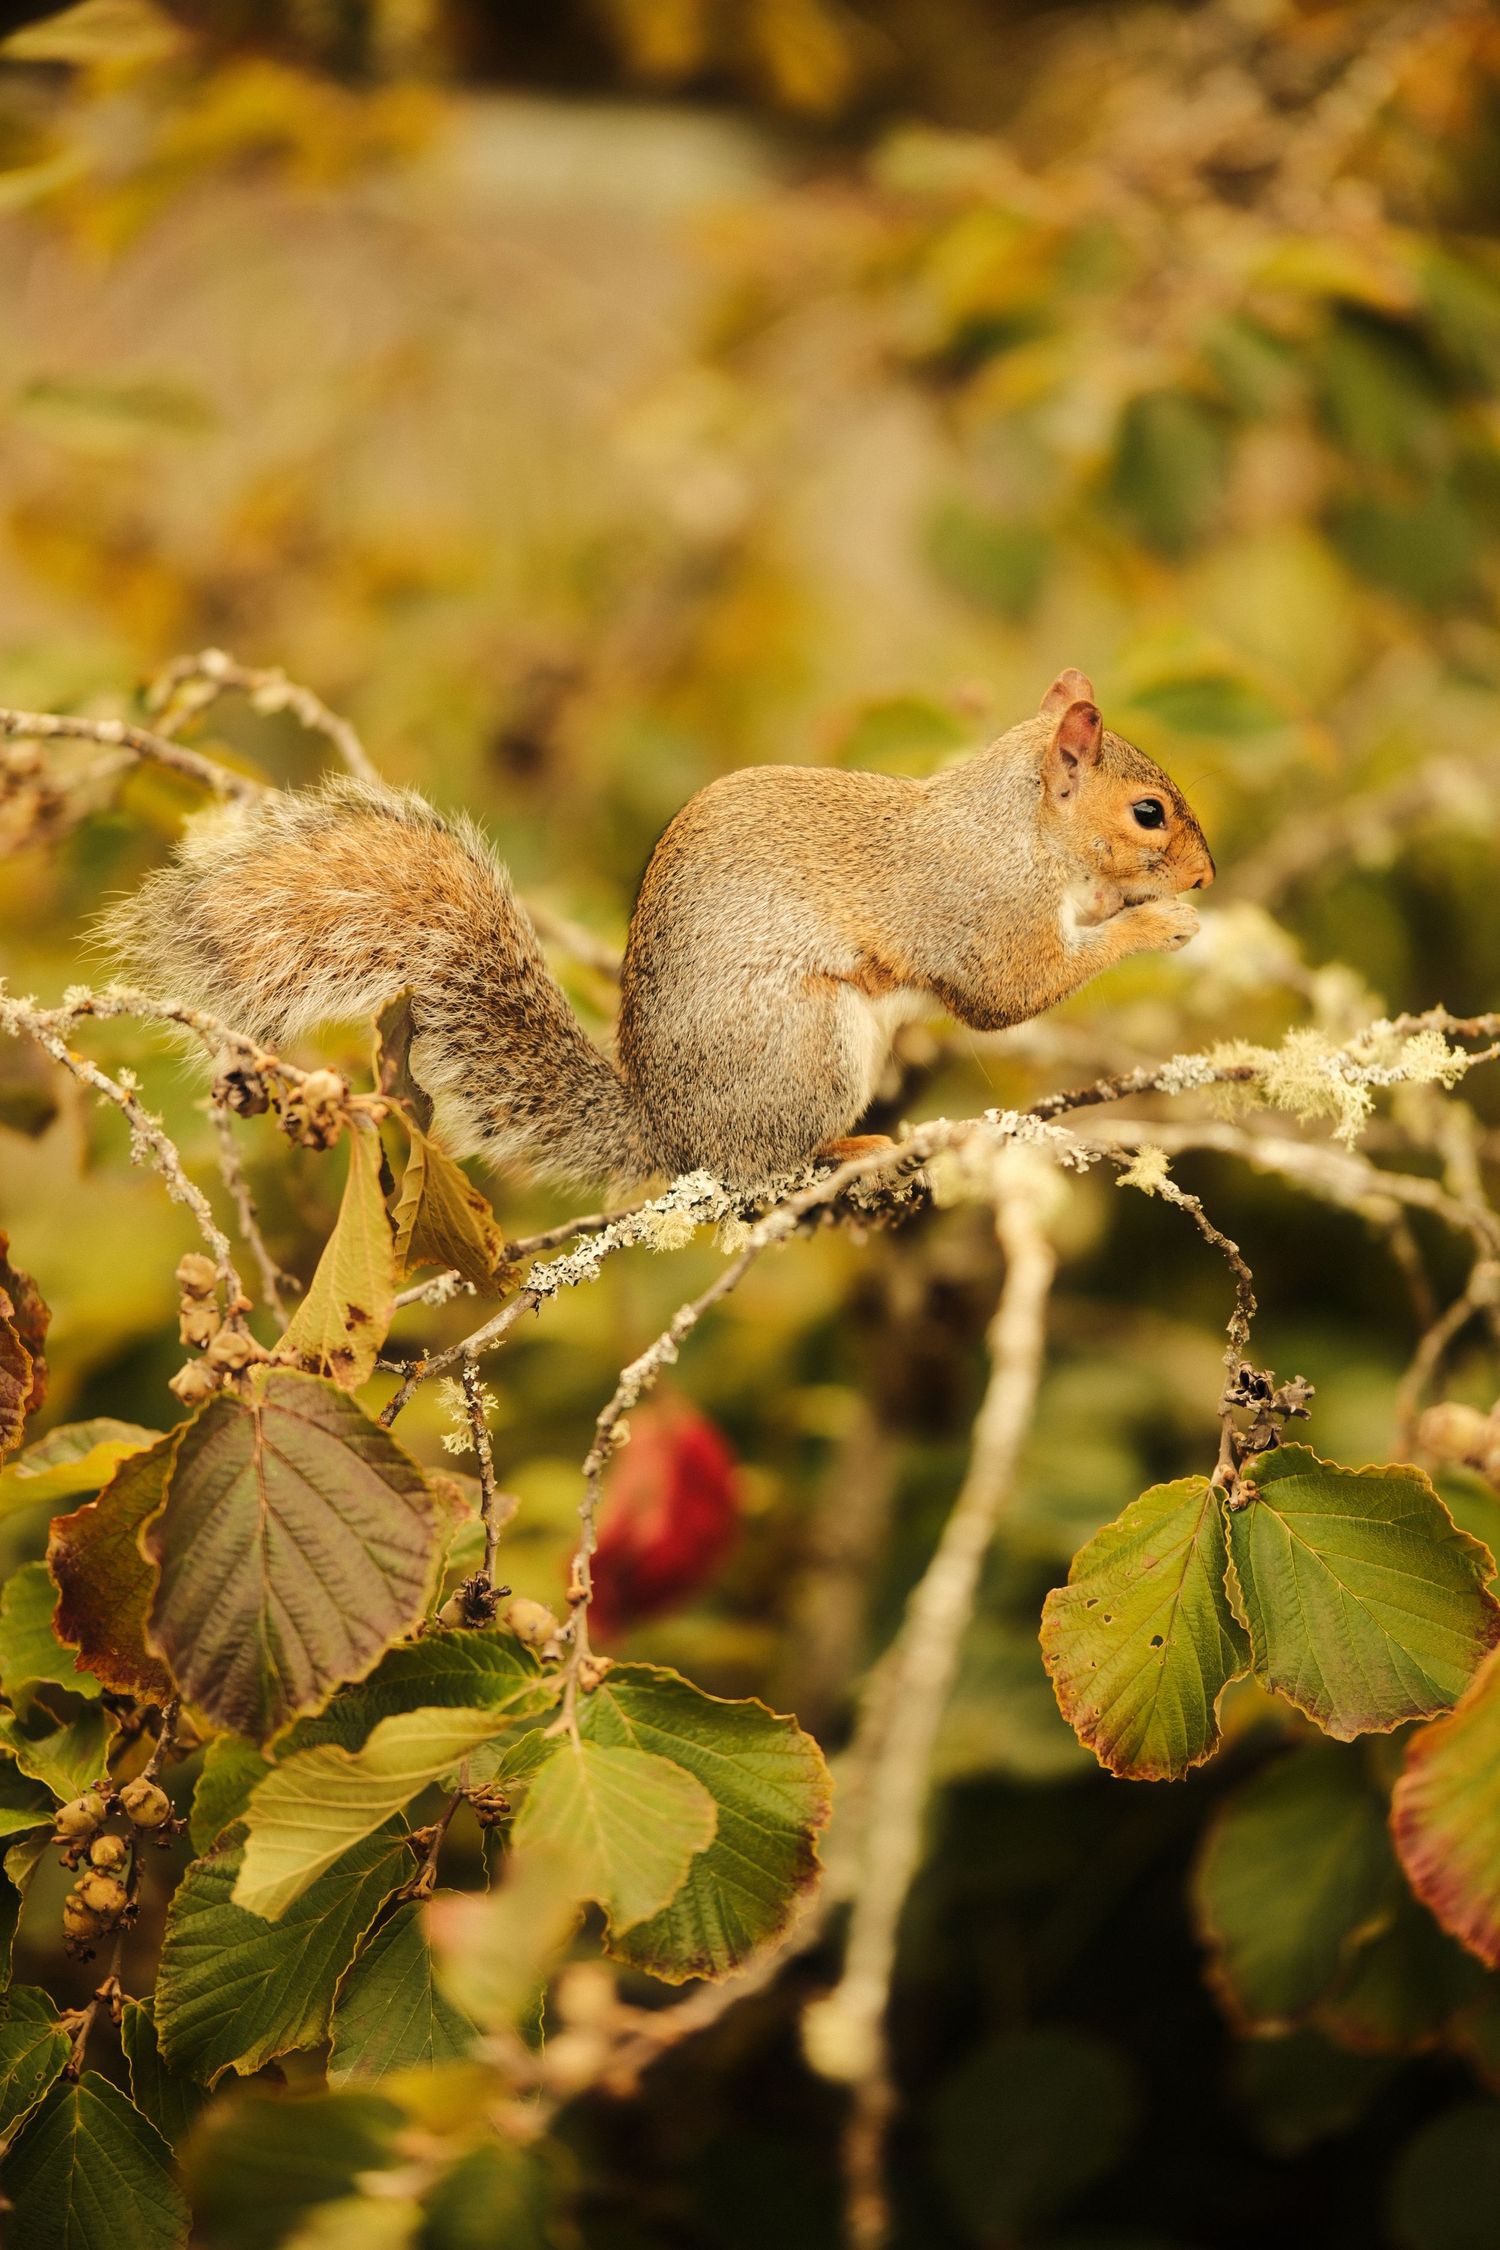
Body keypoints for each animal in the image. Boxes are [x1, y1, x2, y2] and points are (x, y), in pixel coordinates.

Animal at [106, 668, 1214, 1188]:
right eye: (1147, 813)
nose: (1207, 872)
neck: (1021, 829)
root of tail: (671, 1133)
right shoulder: (975, 909)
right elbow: (1008, 995)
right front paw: (1153, 923)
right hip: (806, 1045)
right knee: (763, 1163)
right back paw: (846, 1149)